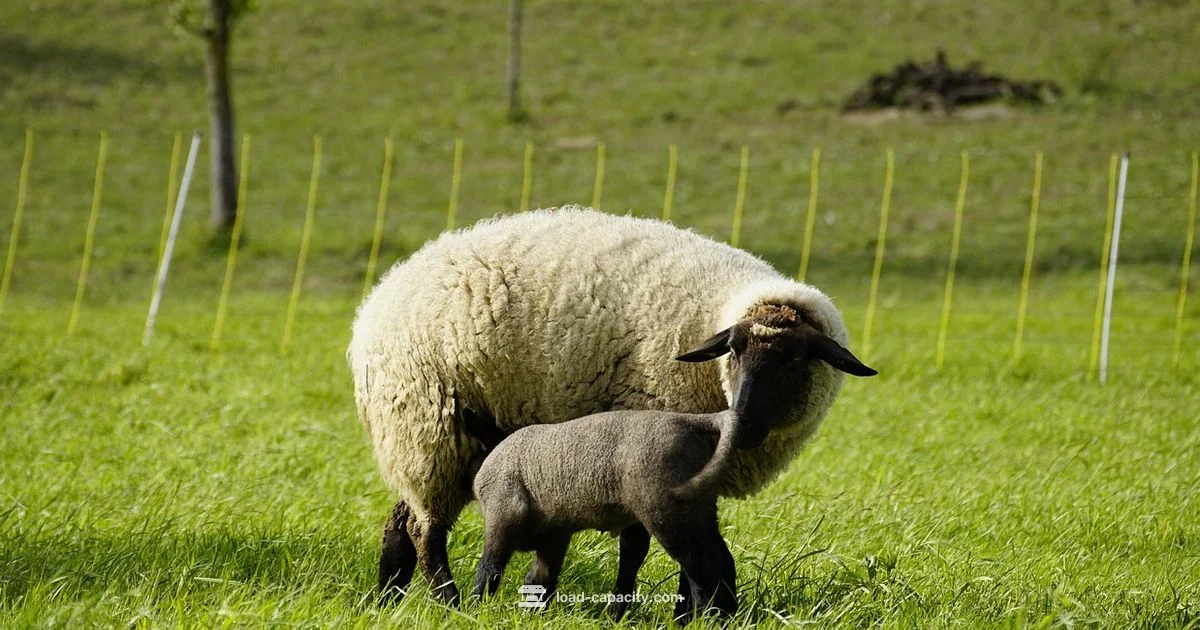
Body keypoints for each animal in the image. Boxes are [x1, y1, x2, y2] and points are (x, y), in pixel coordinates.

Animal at [467, 309, 876, 621]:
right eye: (731, 351)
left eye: (795, 358)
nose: (745, 423)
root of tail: (701, 422)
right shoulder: (550, 532)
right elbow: (537, 577)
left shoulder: (504, 515)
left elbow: (490, 568)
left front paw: (472, 611)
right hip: (696, 506)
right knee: (719, 559)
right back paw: (721, 617)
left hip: (665, 508)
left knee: (701, 564)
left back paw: (706, 618)